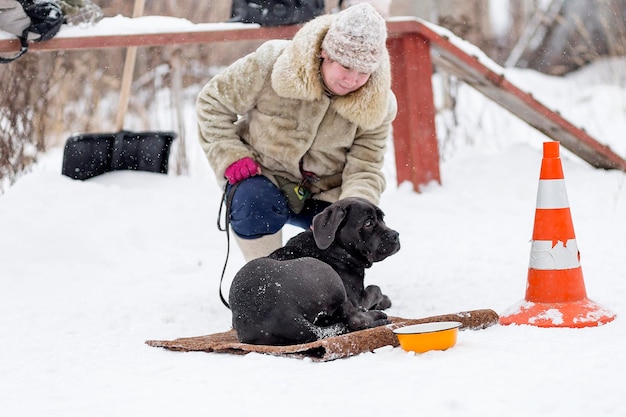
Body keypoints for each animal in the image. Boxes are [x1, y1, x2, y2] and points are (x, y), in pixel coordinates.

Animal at [228, 197, 400, 344]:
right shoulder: (357, 299)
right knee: (354, 319)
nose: (396, 235)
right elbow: (375, 289)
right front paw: (384, 301)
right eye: (368, 223)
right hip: (328, 275)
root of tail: (284, 315)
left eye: (382, 218)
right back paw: (378, 317)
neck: (336, 246)